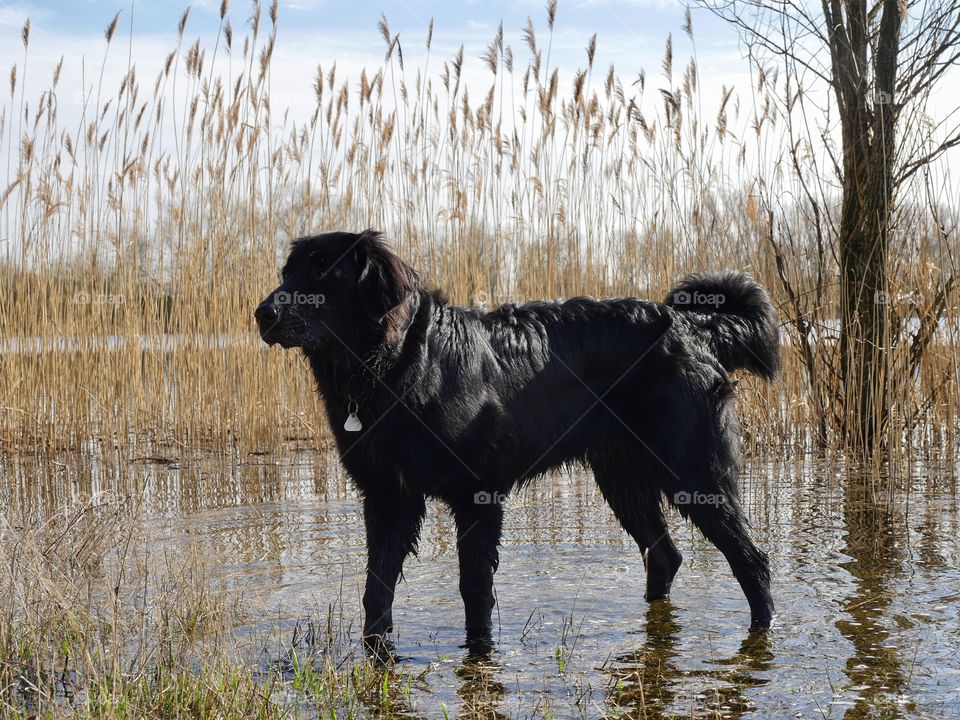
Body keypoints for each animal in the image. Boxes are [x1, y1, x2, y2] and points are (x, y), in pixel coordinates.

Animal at [255, 229, 780, 648]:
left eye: (324, 273)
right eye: (287, 272)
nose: (262, 313)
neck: (400, 367)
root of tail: (694, 327)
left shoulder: (477, 496)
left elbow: (474, 591)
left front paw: (479, 651)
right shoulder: (388, 496)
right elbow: (376, 591)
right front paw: (374, 651)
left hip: (693, 473)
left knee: (752, 560)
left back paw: (763, 631)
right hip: (622, 478)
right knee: (666, 556)